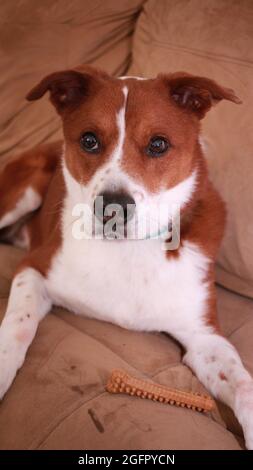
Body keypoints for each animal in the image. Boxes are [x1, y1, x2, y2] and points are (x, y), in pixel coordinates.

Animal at [0, 65, 253, 448]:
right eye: (89, 140)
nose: (112, 208)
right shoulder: (35, 267)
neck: (128, 248)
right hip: (25, 190)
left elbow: (243, 386)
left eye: (158, 144)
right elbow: (17, 324)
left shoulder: (206, 337)